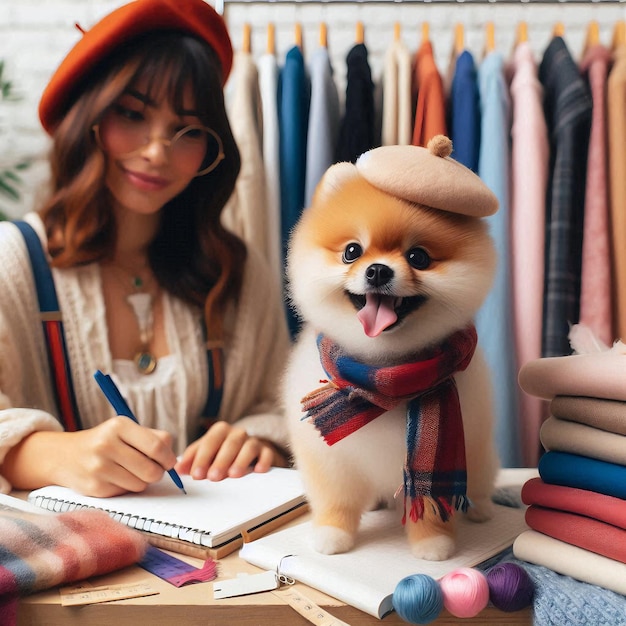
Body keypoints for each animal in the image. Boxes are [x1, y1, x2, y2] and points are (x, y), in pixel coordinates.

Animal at [282, 138, 498, 560]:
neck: (382, 367)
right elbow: (336, 500)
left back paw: (481, 510)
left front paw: (432, 542)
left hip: (481, 454)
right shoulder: (330, 459)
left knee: (480, 485)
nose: (378, 270)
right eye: (352, 251)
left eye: (419, 257)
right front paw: (332, 534)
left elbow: (431, 500)